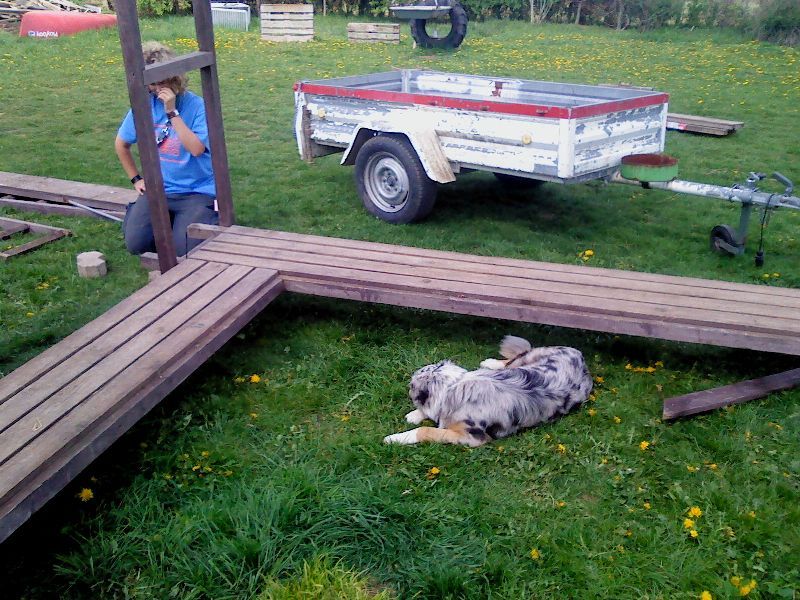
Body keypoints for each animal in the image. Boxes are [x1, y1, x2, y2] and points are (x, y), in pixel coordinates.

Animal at [384, 336, 592, 446]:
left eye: (411, 386)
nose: (408, 388)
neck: (454, 387)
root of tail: (581, 357)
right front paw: (414, 415)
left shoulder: (471, 437)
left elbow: (426, 430)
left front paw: (394, 438)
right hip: (523, 363)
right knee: (511, 360)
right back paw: (490, 362)